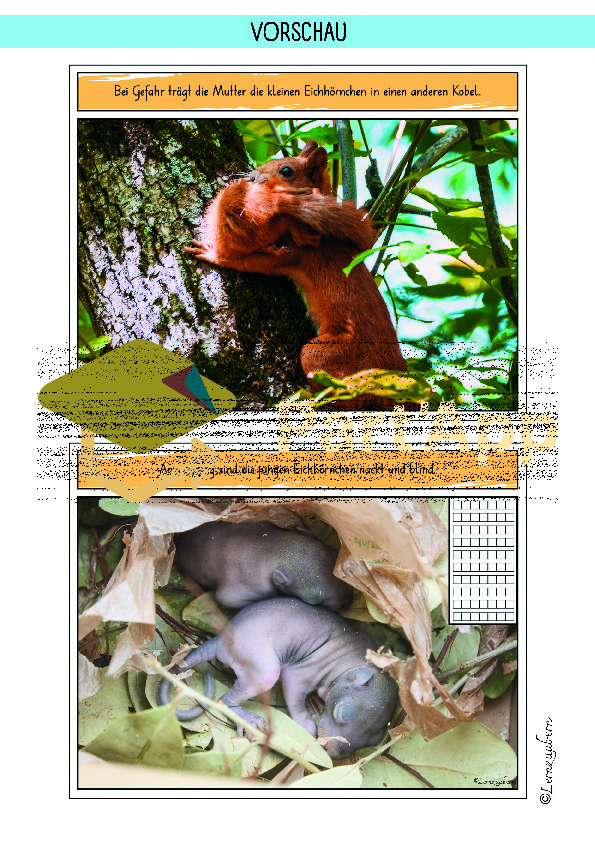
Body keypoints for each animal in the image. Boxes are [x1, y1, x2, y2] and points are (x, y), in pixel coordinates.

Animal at [185, 140, 408, 410]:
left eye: (287, 171)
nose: (252, 177)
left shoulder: (296, 254)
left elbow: (253, 263)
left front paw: (213, 254)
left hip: (325, 354)